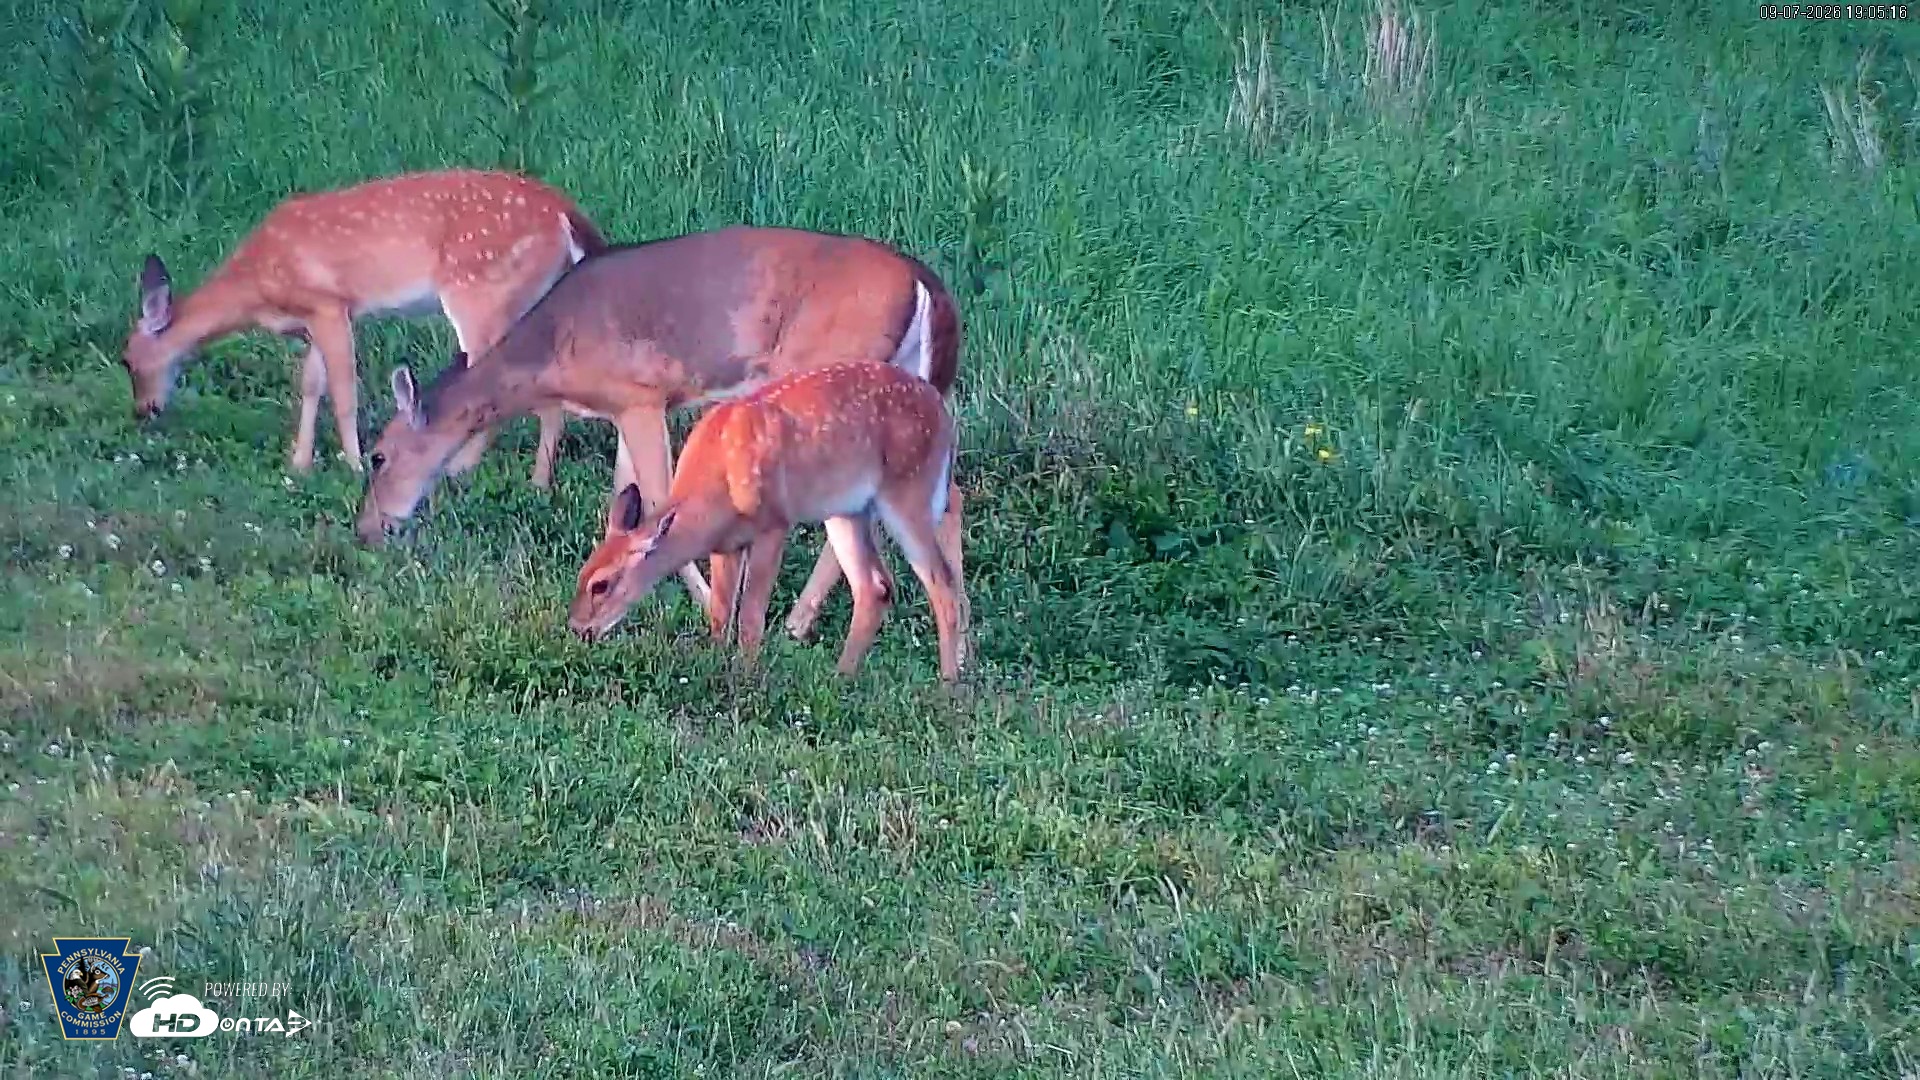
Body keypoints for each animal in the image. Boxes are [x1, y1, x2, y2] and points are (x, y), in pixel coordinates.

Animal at [121, 167, 606, 487]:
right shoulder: (319, 316)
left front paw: (353, 465)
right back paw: (533, 478)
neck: (257, 284)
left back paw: (472, 470)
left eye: (128, 360)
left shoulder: (329, 305)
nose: (144, 410)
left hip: (481, 290)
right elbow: (312, 384)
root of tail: (565, 212)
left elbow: (343, 391)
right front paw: (299, 463)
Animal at [353, 223, 964, 644]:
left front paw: (696, 602)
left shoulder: (642, 395)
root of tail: (928, 287)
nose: (366, 531)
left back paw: (797, 623)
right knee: (943, 493)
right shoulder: (625, 409)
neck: (551, 350)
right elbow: (625, 495)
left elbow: (654, 495)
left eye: (378, 457)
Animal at [568, 360, 969, 683]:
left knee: (942, 583)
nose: (578, 628)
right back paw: (842, 678)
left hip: (908, 493)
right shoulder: (726, 545)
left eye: (601, 584)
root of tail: (942, 412)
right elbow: (721, 612)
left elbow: (750, 615)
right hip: (847, 510)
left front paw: (746, 676)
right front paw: (717, 663)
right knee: (876, 586)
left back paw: (948, 688)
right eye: (582, 574)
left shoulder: (773, 524)